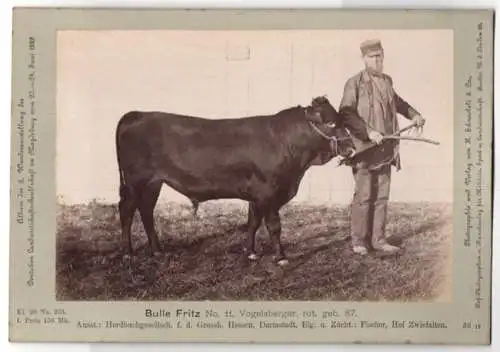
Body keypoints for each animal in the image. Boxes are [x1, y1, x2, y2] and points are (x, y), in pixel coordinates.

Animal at [115, 95, 370, 266]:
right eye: (331, 123)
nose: (351, 148)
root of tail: (137, 114)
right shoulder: (268, 191)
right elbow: (273, 225)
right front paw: (281, 257)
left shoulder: (257, 194)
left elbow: (253, 222)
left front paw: (251, 252)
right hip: (136, 181)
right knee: (127, 209)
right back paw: (128, 253)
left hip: (153, 183)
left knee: (146, 211)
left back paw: (157, 251)